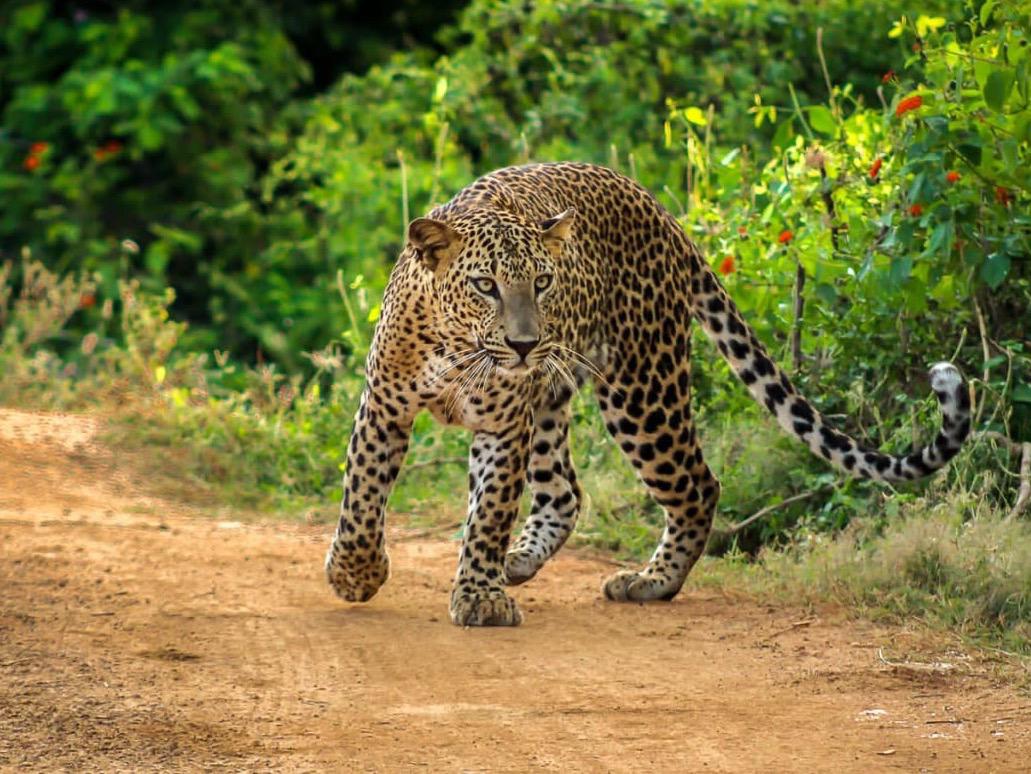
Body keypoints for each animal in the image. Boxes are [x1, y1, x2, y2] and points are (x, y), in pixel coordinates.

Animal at [324, 162, 970, 627]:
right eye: (485, 285)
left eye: (543, 282)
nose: (526, 343)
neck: (459, 346)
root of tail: (661, 211)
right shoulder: (385, 404)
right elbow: (362, 495)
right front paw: (356, 574)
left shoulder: (504, 424)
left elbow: (489, 511)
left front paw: (479, 595)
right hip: (558, 399)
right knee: (564, 491)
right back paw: (522, 561)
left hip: (640, 388)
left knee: (697, 486)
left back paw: (651, 582)